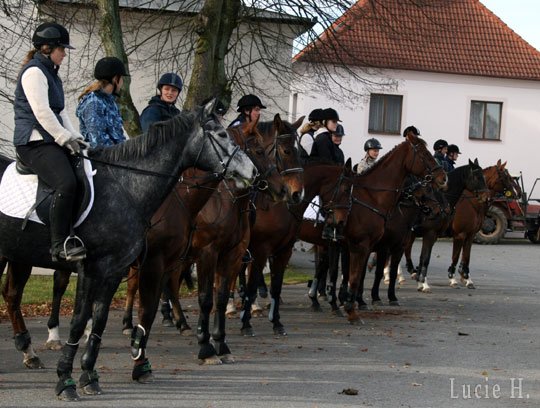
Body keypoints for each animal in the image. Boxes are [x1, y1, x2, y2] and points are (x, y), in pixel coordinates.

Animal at [0, 103, 256, 402]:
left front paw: (90, 375)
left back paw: (29, 352)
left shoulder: (115, 269)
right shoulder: (96, 269)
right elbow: (80, 320)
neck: (126, 187)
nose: (252, 172)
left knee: (12, 295)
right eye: (221, 134)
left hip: (17, 256)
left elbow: (101, 320)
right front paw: (65, 379)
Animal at [340, 133, 450, 322]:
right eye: (424, 154)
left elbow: (388, 272)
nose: (443, 177)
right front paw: (365, 300)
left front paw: (389, 297)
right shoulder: (378, 246)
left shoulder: (397, 246)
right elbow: (369, 273)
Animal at [448, 158, 520, 288]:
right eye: (505, 177)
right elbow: (455, 256)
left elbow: (466, 256)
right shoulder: (460, 234)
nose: (517, 194)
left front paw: (467, 278)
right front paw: (453, 278)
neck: (473, 204)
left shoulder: (470, 235)